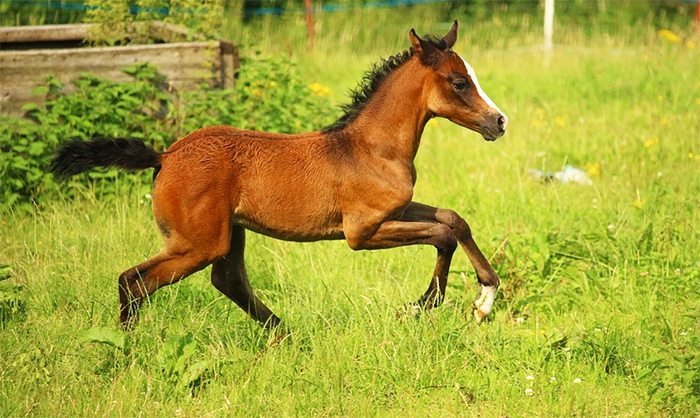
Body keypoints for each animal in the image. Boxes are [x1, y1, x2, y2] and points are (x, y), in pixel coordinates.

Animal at [50, 20, 508, 330]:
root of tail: (165, 155)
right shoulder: (361, 232)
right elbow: (442, 234)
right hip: (197, 243)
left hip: (227, 234)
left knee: (227, 279)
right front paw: (422, 305)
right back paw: (125, 347)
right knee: (136, 280)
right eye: (459, 82)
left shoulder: (394, 209)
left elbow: (453, 219)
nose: (499, 122)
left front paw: (484, 299)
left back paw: (285, 335)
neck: (370, 148)